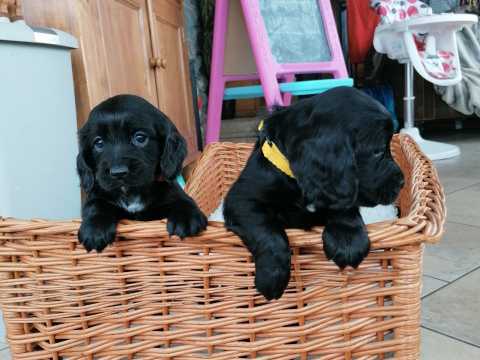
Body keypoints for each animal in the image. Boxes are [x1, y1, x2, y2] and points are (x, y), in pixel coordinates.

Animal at [77, 94, 206, 252]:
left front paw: (186, 218)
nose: (118, 173)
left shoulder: (171, 192)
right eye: (98, 143)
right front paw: (94, 230)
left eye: (140, 138)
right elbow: (95, 205)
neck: (131, 192)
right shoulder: (97, 195)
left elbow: (183, 200)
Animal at [223, 87, 404, 300]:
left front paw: (348, 241)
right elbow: (267, 231)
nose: (402, 182)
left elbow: (344, 204)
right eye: (378, 151)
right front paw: (272, 276)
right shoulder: (242, 199)